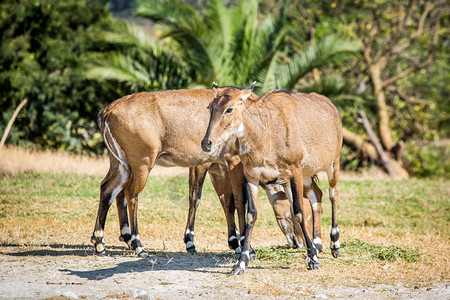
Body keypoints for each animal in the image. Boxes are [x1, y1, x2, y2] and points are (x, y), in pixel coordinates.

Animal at [90, 88, 320, 258]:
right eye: (300, 207)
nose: (301, 242)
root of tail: (107, 111)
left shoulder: (217, 168)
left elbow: (226, 201)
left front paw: (233, 241)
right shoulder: (229, 163)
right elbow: (237, 200)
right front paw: (244, 247)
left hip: (121, 164)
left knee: (109, 188)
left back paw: (101, 241)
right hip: (142, 163)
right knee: (131, 194)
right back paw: (137, 244)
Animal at [200, 82, 342, 274]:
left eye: (229, 109)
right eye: (210, 107)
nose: (207, 143)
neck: (265, 133)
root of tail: (331, 105)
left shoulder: (294, 170)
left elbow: (298, 211)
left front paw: (312, 259)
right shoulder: (252, 176)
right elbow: (251, 214)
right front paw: (241, 263)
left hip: (332, 163)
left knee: (333, 193)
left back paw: (334, 245)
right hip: (306, 174)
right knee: (317, 195)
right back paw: (317, 244)